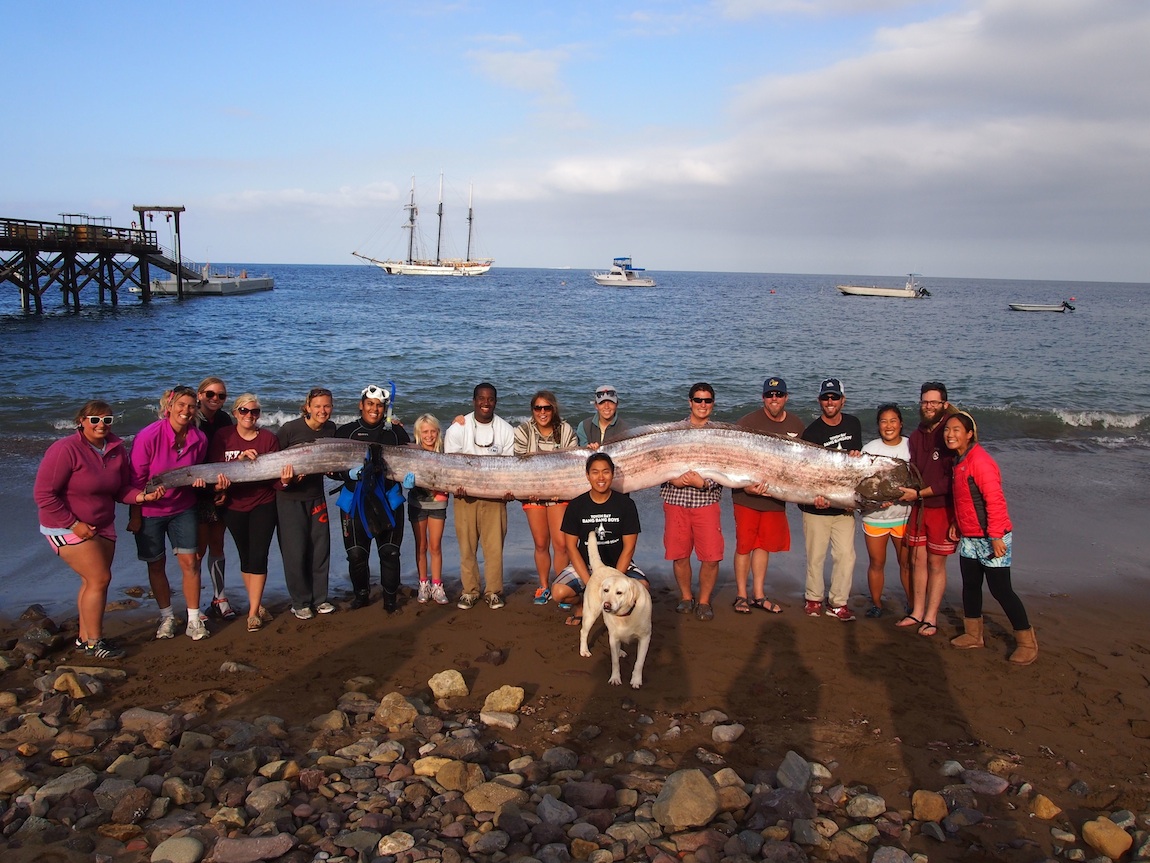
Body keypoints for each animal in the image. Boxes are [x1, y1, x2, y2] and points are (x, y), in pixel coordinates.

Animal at [579, 533, 653, 690]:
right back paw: (584, 650)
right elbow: (614, 662)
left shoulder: (645, 638)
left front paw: (636, 680)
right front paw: (615, 678)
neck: (626, 615)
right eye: (606, 590)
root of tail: (602, 567)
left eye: (619, 592)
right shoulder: (613, 638)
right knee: (584, 632)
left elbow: (639, 662)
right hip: (591, 613)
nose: (606, 605)